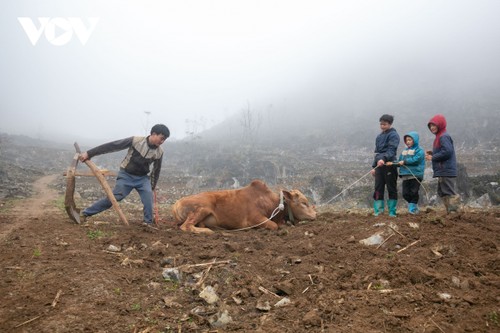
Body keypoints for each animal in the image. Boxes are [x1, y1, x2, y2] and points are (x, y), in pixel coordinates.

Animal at [172, 179, 316, 233]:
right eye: (304, 202)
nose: (315, 214)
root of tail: (177, 203)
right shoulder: (255, 219)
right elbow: (274, 226)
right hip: (201, 209)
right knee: (186, 226)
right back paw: (208, 231)